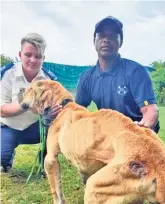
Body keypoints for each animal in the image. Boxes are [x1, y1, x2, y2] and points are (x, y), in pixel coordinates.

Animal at [20, 79, 165, 204]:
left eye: (29, 89)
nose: (21, 89)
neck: (63, 105)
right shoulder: (85, 167)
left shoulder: (50, 160)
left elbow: (56, 191)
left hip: (94, 189)